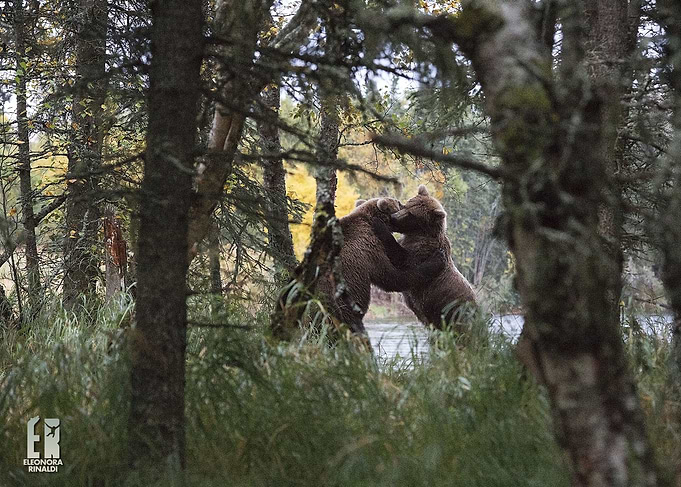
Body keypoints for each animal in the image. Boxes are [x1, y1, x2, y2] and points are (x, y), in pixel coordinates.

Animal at [315, 197, 446, 337]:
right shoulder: (369, 249)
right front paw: (437, 260)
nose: (403, 204)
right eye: (399, 203)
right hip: (341, 310)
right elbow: (392, 277)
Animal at [372, 185, 477, 331]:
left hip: (454, 314)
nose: (393, 217)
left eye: (411, 214)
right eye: (406, 205)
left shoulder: (422, 251)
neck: (419, 233)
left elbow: (402, 260)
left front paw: (378, 224)